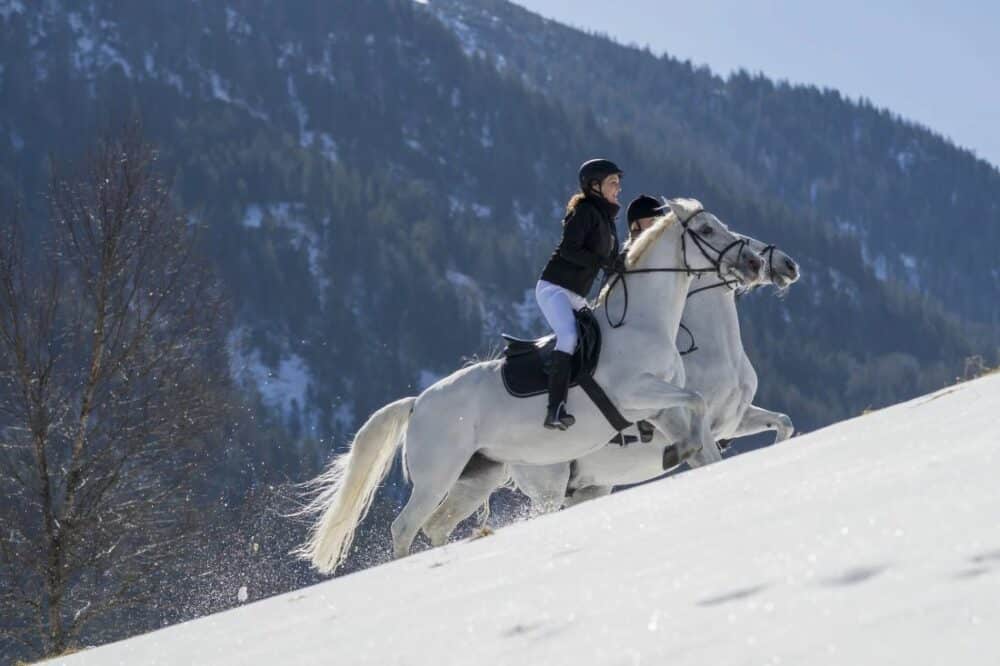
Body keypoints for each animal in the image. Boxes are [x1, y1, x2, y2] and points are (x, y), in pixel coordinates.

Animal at [294, 197, 756, 572]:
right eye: (706, 230)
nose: (752, 263)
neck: (643, 323)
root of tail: (418, 402)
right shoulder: (635, 393)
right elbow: (698, 400)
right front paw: (685, 450)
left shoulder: (659, 406)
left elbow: (698, 420)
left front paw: (690, 452)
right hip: (437, 477)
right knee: (405, 527)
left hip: (476, 478)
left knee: (437, 526)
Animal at [420, 231, 796, 544]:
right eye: (727, 232)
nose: (784, 264)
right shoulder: (690, 420)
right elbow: (706, 449)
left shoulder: (734, 419)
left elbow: (783, 423)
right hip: (547, 482)